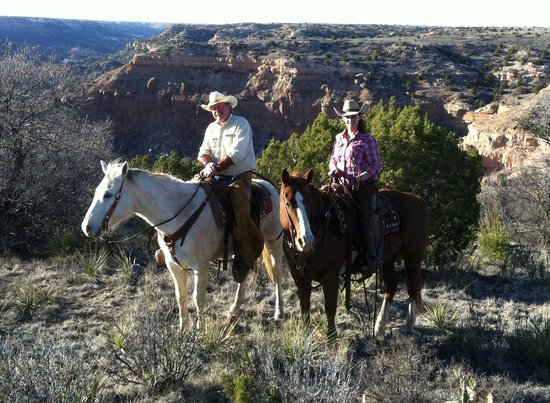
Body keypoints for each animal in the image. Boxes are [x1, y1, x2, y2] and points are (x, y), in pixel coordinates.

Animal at [83, 159, 288, 330]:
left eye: (108, 194)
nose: (87, 227)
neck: (180, 214)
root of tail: (268, 186)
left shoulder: (201, 265)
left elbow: (198, 298)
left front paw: (198, 332)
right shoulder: (173, 265)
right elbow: (180, 297)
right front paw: (183, 330)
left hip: (274, 241)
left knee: (277, 274)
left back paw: (279, 311)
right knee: (243, 275)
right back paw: (233, 311)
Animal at [280, 169, 432, 340]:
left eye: (309, 202)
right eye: (288, 203)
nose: (306, 241)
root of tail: (418, 200)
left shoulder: (331, 275)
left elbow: (330, 307)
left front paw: (331, 340)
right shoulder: (298, 275)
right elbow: (304, 306)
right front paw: (305, 337)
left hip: (413, 257)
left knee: (412, 287)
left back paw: (409, 326)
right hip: (388, 259)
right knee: (391, 287)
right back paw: (379, 327)